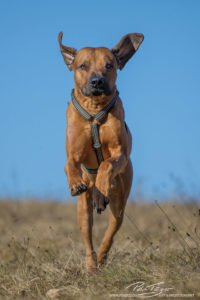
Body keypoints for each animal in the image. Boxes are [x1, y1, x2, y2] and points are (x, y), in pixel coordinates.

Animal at [57, 31, 144, 274]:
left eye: (109, 65)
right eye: (83, 66)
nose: (97, 81)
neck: (94, 109)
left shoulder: (120, 153)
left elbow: (107, 163)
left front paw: (104, 182)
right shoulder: (72, 153)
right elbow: (70, 164)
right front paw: (75, 181)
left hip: (119, 205)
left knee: (110, 234)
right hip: (83, 211)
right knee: (87, 237)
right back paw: (91, 266)